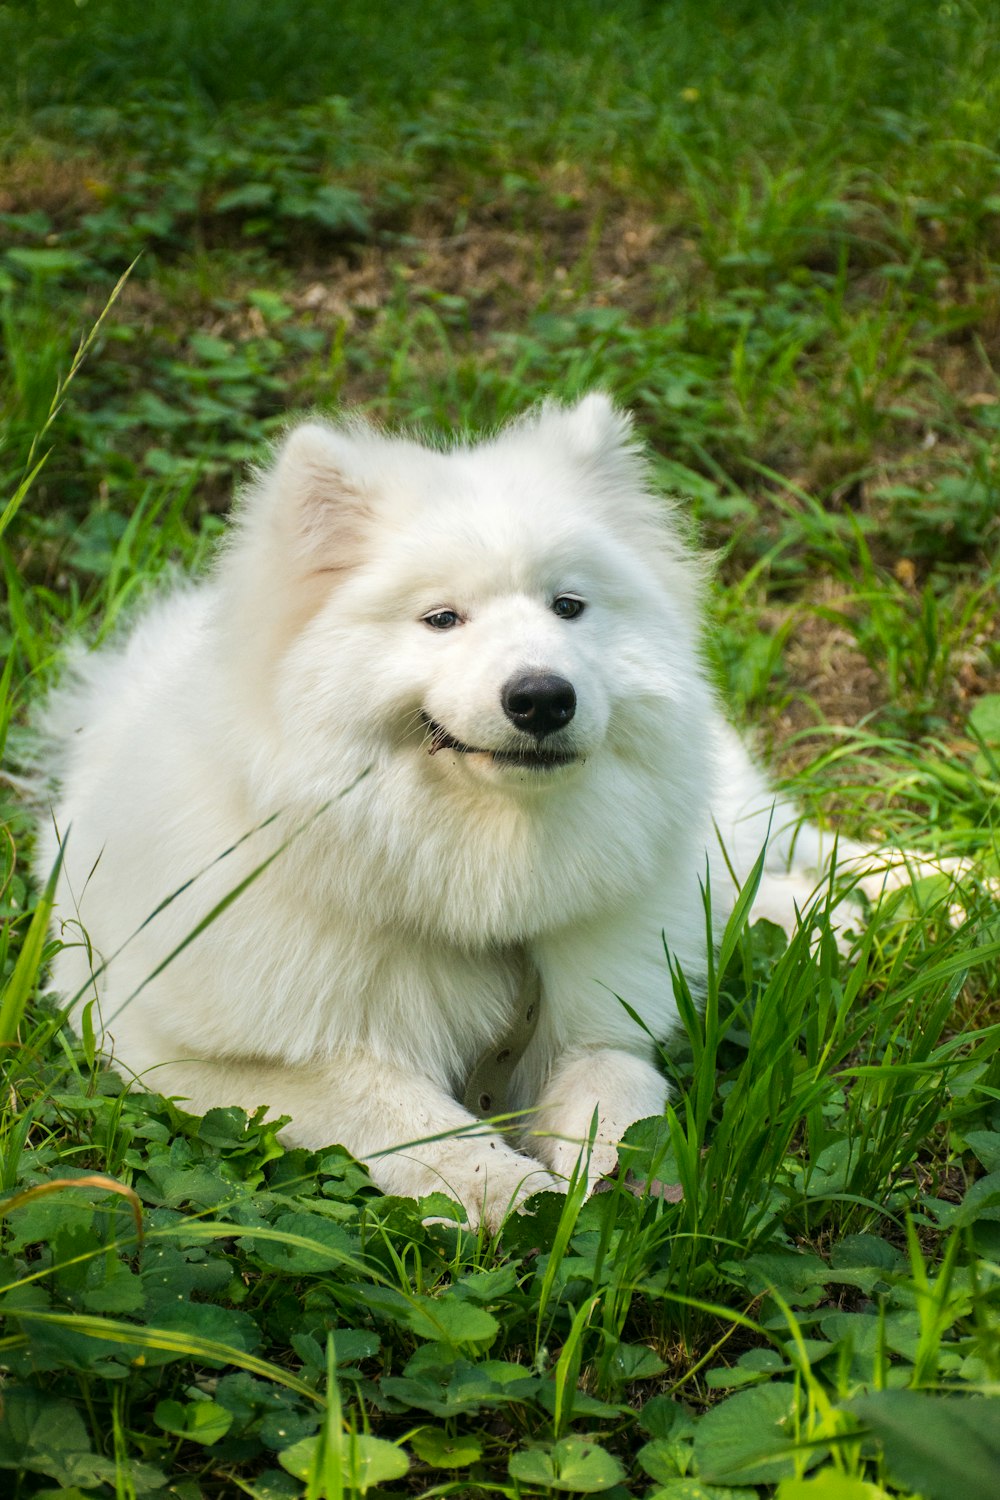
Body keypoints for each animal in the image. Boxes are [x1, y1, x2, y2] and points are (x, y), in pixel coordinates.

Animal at [37, 396, 947, 1230]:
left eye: (568, 607)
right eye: (441, 618)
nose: (543, 697)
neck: (485, 881)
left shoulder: (598, 1017)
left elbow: (621, 1098)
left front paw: (630, 1186)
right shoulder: (182, 1048)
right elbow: (400, 1109)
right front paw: (508, 1191)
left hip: (721, 826)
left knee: (797, 848)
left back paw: (935, 885)